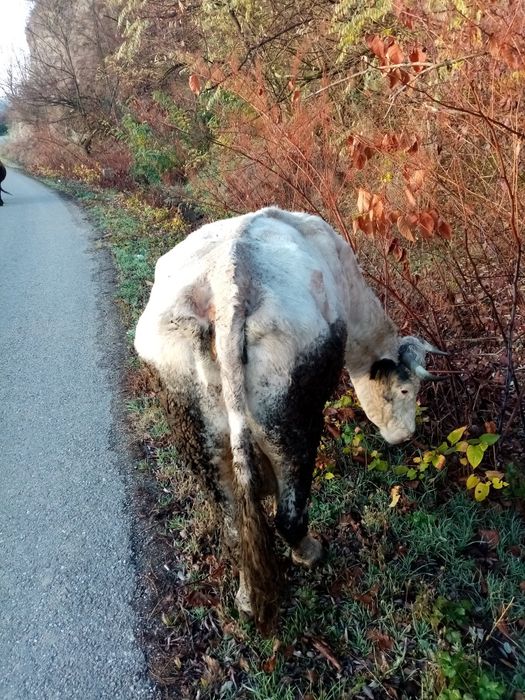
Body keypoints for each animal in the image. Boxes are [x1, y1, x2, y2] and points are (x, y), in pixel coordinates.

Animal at [134, 207, 446, 632]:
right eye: (405, 390)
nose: (405, 436)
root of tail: (228, 288)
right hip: (290, 422)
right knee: (289, 515)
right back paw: (309, 553)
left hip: (192, 425)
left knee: (234, 525)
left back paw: (246, 597)